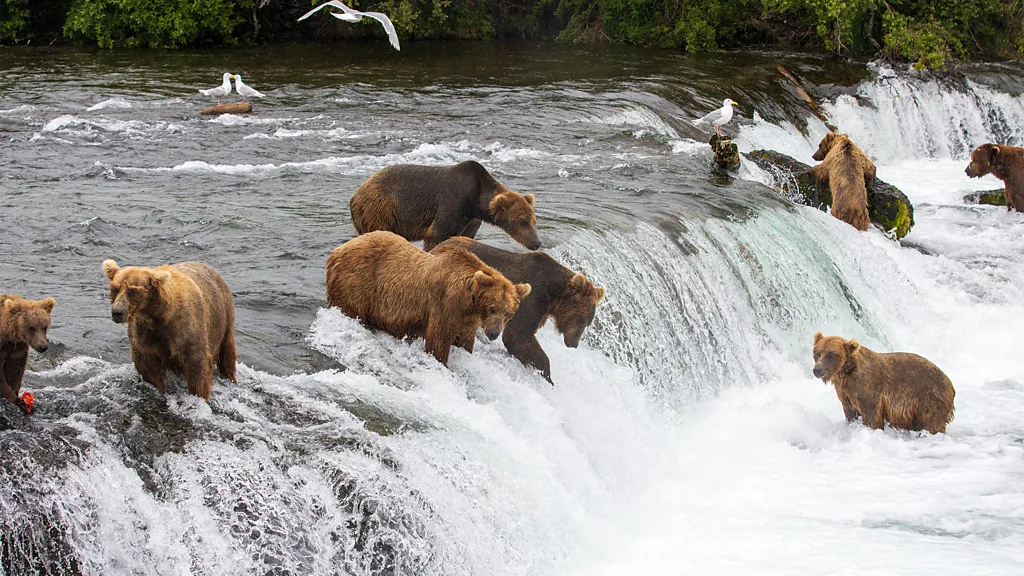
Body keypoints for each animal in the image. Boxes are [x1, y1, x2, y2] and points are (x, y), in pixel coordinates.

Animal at [102, 259, 237, 401]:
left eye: (132, 290)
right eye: (115, 288)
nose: (117, 312)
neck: (158, 316)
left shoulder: (185, 329)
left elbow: (197, 365)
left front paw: (198, 394)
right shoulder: (144, 334)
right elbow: (147, 366)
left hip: (224, 317)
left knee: (227, 353)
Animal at [325, 231, 531, 366]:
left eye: (509, 313)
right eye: (492, 307)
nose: (493, 333)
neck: (468, 301)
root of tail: (336, 251)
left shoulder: (467, 319)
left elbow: (465, 341)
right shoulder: (446, 304)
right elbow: (438, 339)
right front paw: (442, 361)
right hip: (356, 283)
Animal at [349, 160, 542, 252]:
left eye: (534, 221)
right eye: (523, 221)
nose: (537, 242)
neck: (476, 203)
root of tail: (355, 194)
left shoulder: (471, 220)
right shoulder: (453, 203)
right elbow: (437, 234)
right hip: (380, 209)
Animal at [436, 237, 605, 384]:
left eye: (588, 323)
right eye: (581, 320)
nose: (574, 344)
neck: (553, 294)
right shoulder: (533, 297)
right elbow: (518, 335)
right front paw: (548, 376)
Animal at [812, 333, 955, 434]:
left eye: (831, 354)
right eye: (817, 353)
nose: (817, 370)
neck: (845, 373)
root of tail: (950, 383)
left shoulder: (867, 386)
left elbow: (872, 414)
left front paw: (871, 429)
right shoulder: (845, 392)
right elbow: (850, 412)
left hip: (929, 396)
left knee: (931, 422)